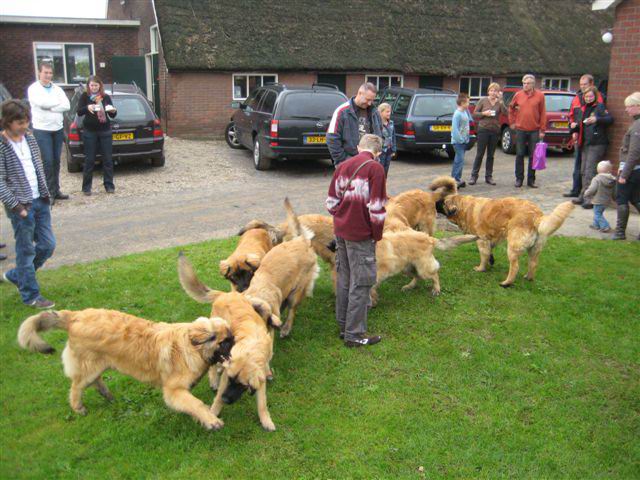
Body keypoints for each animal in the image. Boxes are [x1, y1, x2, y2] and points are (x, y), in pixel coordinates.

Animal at [19, 308, 235, 432]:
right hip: (88, 367)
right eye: (224, 342)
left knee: (94, 381)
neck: (190, 347)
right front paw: (211, 420)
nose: (235, 342)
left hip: (98, 363)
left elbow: (191, 403)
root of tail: (74, 316)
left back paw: (107, 395)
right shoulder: (173, 390)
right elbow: (196, 403)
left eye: (231, 337)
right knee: (76, 386)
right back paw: (78, 407)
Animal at [178, 255, 282, 432]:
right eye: (231, 380)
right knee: (212, 363)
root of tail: (225, 294)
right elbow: (218, 395)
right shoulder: (227, 375)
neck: (250, 348)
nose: (227, 400)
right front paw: (213, 414)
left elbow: (262, 403)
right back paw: (214, 377)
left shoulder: (258, 376)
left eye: (242, 385)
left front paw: (266, 420)